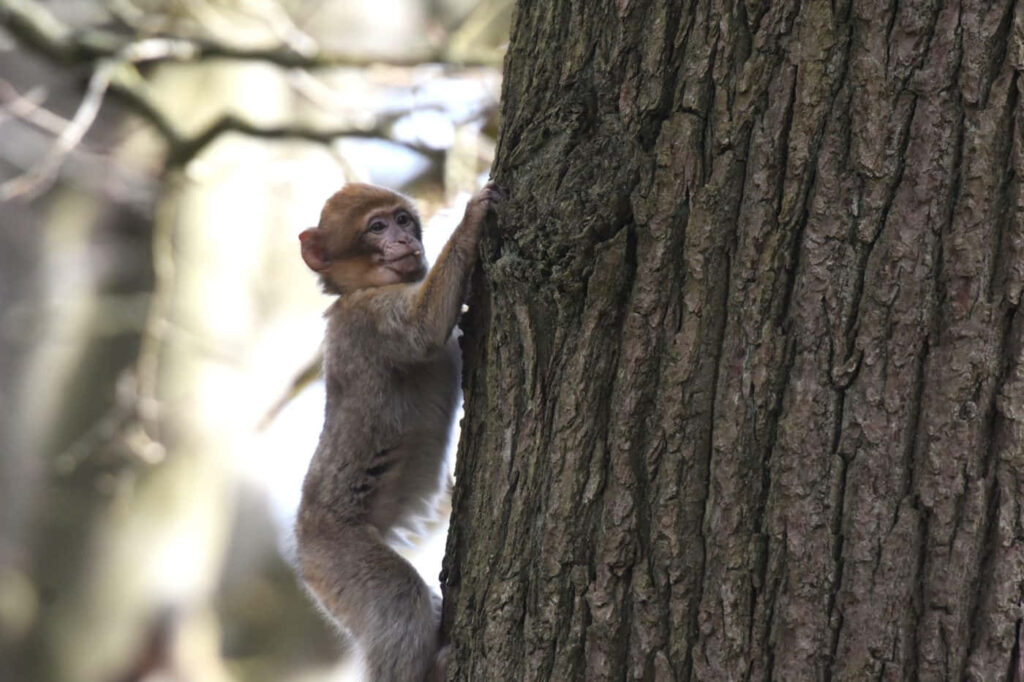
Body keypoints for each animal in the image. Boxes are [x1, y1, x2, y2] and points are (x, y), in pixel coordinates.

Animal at [294, 181, 502, 682]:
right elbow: (422, 330)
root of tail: (302, 545)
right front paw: (471, 220)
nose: (404, 238)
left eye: (403, 219)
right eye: (377, 227)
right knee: (398, 597)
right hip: (335, 555)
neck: (361, 288)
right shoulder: (371, 319)